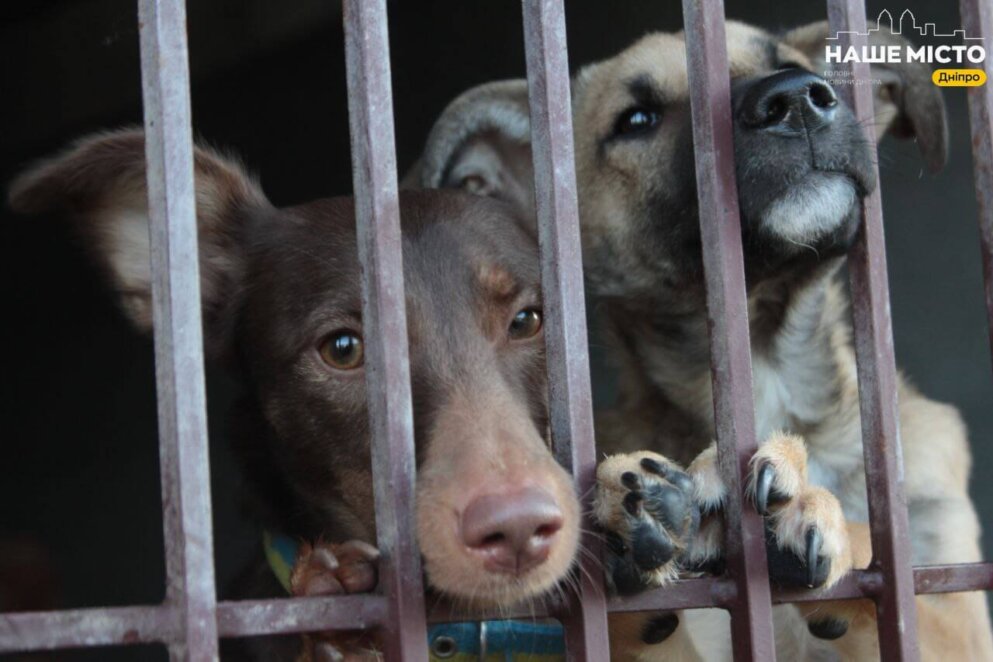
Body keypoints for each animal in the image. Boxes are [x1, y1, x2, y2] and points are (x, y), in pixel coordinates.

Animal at [410, 19, 992, 662]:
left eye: (790, 65)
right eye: (637, 119)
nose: (796, 97)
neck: (764, 364)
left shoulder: (948, 601)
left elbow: (890, 576)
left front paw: (809, 499)